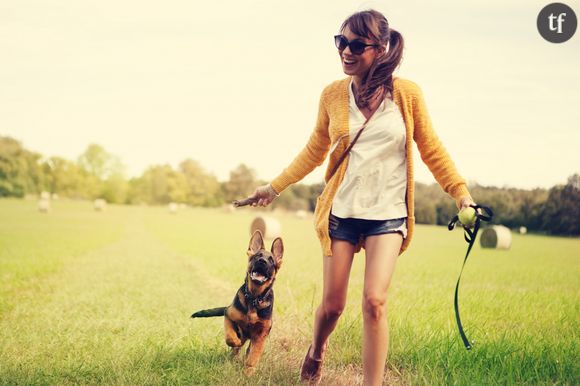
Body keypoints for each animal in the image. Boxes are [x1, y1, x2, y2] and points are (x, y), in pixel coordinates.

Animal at [190, 231, 284, 376]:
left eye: (271, 260)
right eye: (257, 256)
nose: (262, 261)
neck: (254, 298)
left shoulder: (261, 335)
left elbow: (253, 356)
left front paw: (248, 373)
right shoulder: (229, 315)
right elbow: (230, 337)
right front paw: (235, 342)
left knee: (248, 351)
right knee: (236, 348)